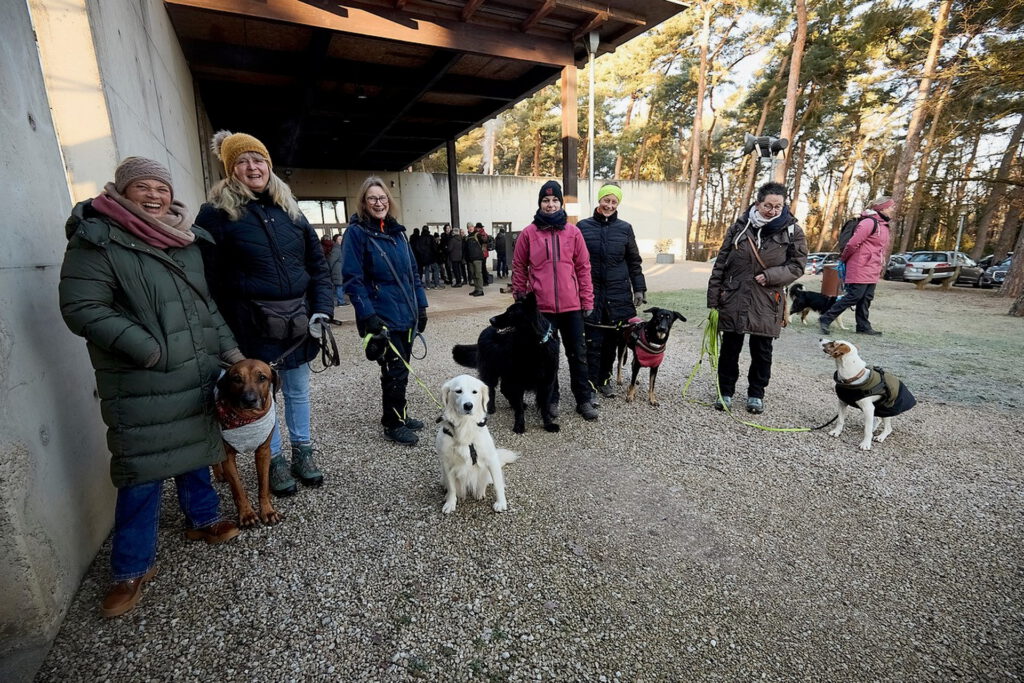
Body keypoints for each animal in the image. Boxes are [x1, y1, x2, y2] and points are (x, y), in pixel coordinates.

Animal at [211, 360, 282, 528]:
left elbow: (263, 485)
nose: (249, 400)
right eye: (236, 379)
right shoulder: (228, 456)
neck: (248, 418)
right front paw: (247, 514)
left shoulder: (263, 451)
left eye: (262, 377)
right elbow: (238, 489)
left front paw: (267, 511)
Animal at [452, 292, 561, 432]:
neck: (533, 346)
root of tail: (485, 330)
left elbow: (545, 406)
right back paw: (491, 407)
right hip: (492, 372)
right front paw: (519, 425)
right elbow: (519, 409)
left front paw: (548, 424)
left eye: (511, 313)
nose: (491, 320)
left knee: (504, 388)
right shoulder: (518, 380)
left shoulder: (546, 383)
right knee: (492, 389)